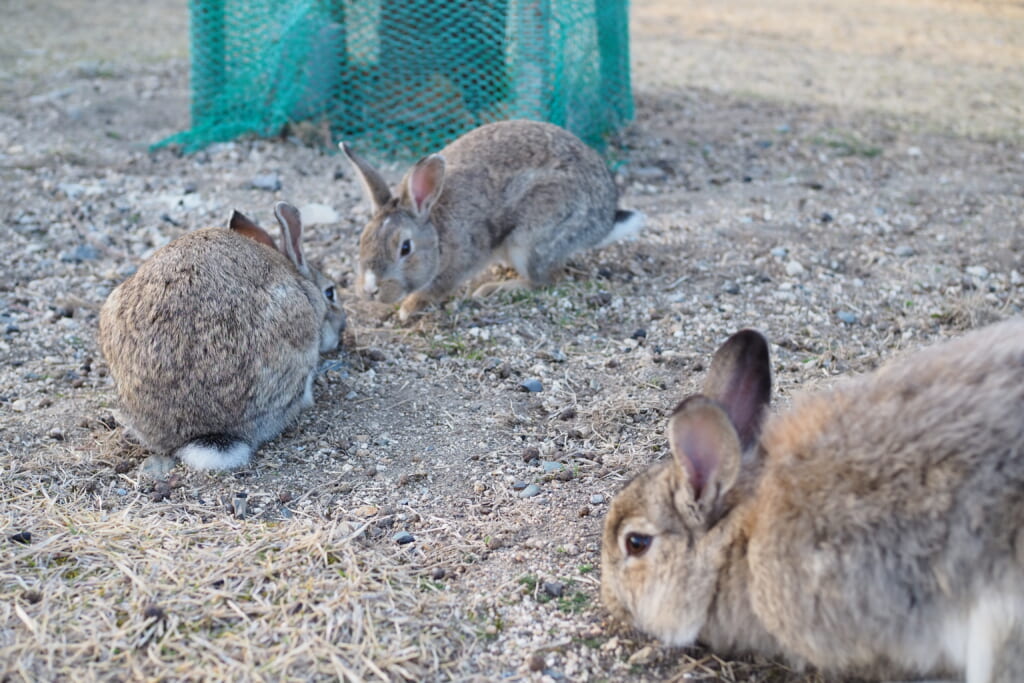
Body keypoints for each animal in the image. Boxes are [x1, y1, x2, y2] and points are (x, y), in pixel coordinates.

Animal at [339, 118, 643, 321]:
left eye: (405, 248)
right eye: (361, 241)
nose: (370, 290)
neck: (437, 232)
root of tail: (603, 221)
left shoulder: (459, 264)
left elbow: (435, 288)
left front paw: (407, 309)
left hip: (532, 240)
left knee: (547, 280)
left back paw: (493, 288)